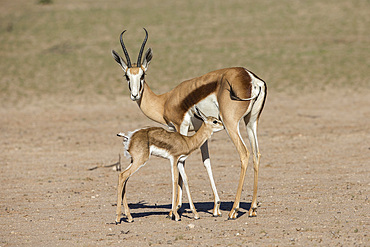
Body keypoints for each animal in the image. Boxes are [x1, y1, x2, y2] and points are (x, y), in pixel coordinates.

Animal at [111, 28, 268, 219]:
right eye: (127, 75)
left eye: (142, 75)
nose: (134, 95)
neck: (165, 100)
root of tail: (251, 77)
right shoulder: (201, 129)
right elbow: (206, 161)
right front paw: (215, 207)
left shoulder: (181, 126)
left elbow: (182, 165)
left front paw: (176, 209)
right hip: (251, 122)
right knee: (256, 154)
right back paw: (252, 208)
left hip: (231, 124)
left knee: (244, 153)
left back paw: (234, 210)